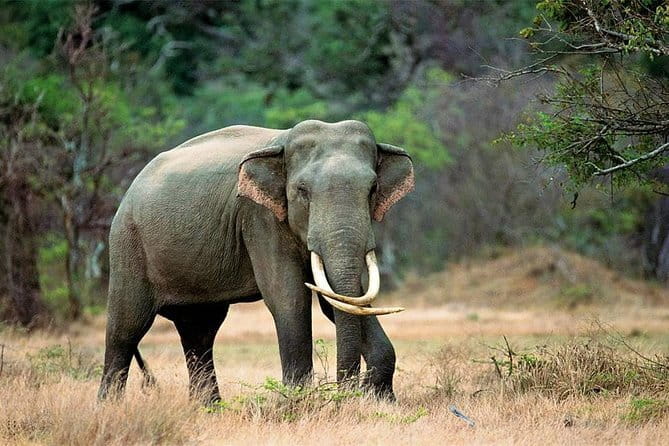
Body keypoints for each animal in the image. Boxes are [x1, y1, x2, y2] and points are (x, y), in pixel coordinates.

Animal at [97, 119, 414, 403]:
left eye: (372, 189)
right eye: (302, 191)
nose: (346, 394)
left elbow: (339, 298)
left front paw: (382, 401)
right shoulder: (258, 217)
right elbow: (288, 296)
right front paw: (297, 404)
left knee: (199, 332)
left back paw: (209, 409)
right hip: (128, 243)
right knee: (126, 329)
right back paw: (109, 408)